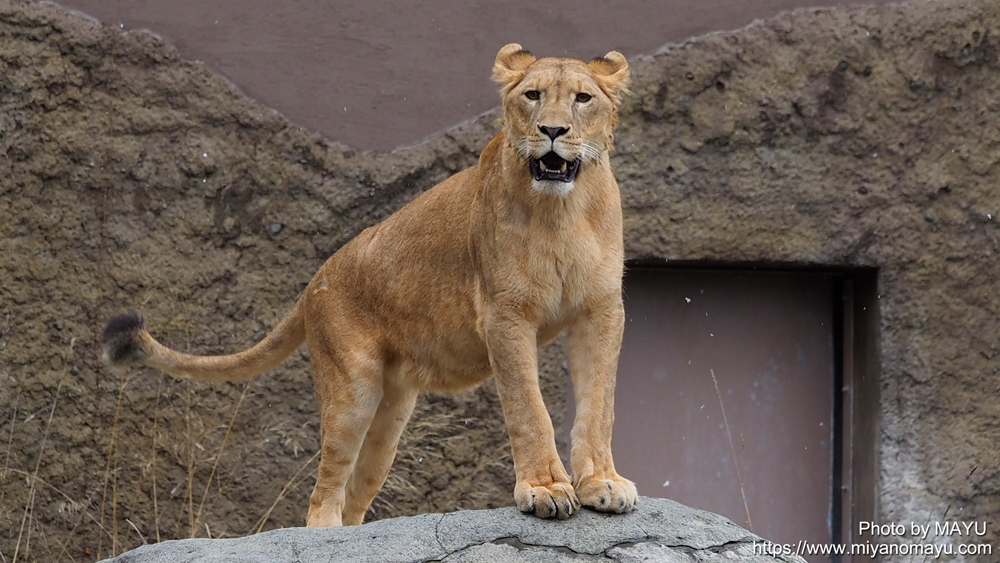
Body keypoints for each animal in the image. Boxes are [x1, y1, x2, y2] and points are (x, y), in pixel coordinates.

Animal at [102, 43, 637, 527]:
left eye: (582, 99)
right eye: (532, 95)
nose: (553, 131)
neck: (562, 213)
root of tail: (313, 282)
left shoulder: (601, 310)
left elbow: (601, 404)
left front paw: (602, 484)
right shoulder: (505, 313)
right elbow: (529, 407)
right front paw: (546, 488)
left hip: (391, 418)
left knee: (356, 495)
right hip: (352, 391)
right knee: (324, 492)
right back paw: (322, 534)